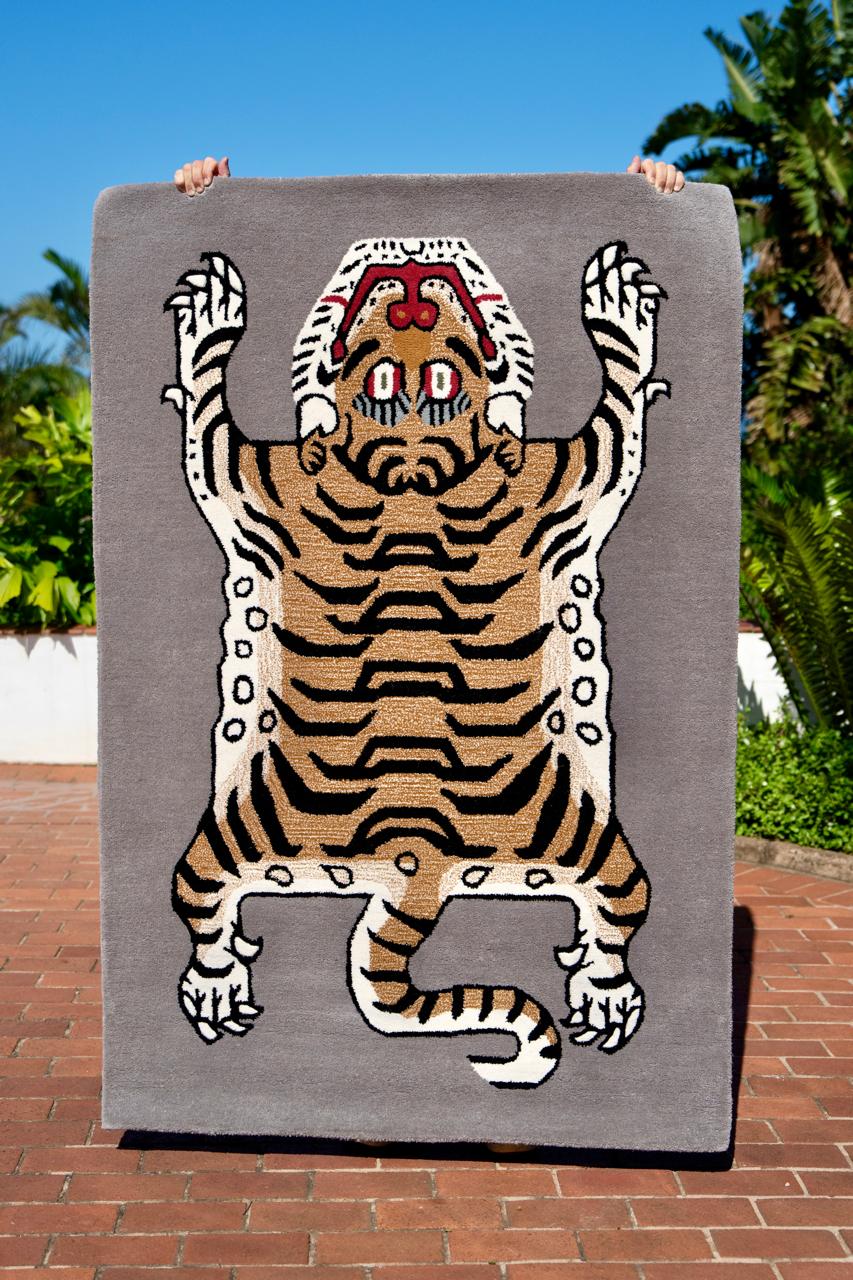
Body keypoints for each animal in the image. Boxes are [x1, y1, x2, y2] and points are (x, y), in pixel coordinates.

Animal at [162, 235, 669, 1088]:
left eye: (438, 308)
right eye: (385, 310)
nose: (407, 271)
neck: (407, 452)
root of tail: (415, 856)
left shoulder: (553, 477)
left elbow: (616, 413)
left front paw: (616, 315)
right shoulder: (269, 481)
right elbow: (206, 424)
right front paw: (211, 322)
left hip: (579, 833)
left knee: (618, 903)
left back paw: (602, 987)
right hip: (244, 827)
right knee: (200, 897)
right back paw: (216, 978)